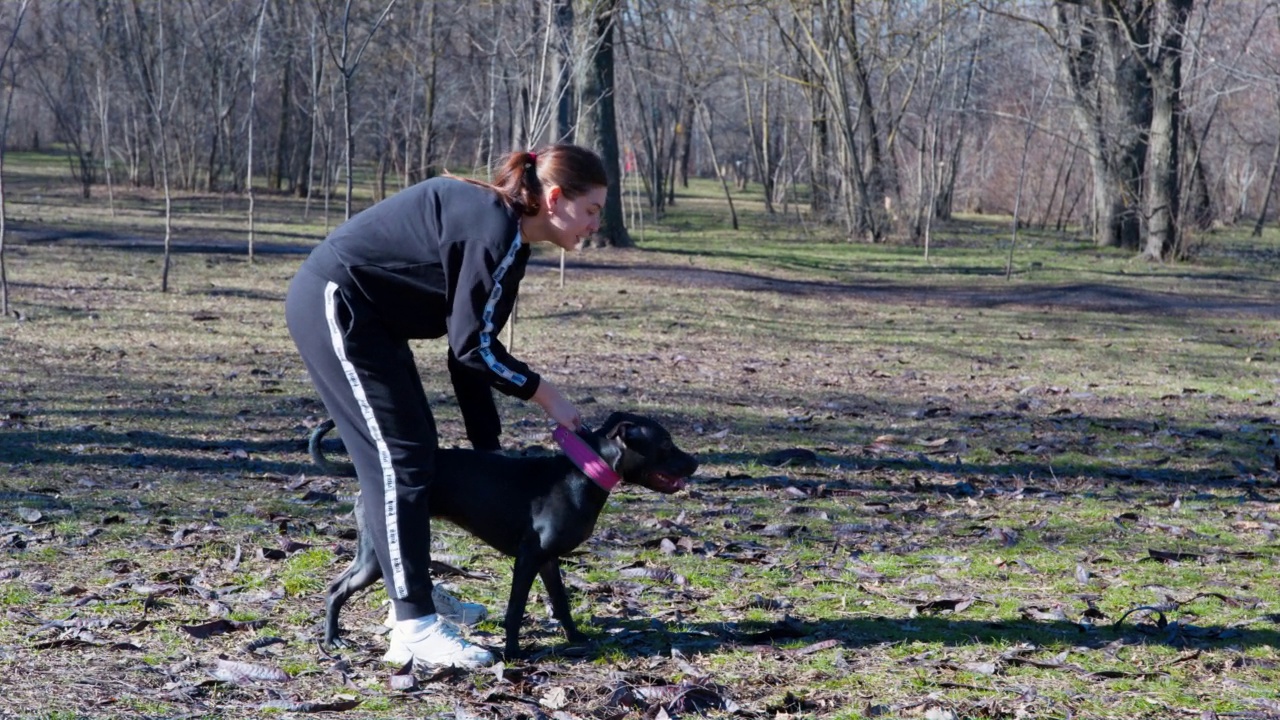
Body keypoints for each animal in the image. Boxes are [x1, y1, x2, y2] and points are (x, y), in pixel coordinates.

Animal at [314, 409, 701, 655]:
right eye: (666, 444)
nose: (696, 462)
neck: (582, 473)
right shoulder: (528, 558)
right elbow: (515, 609)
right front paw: (513, 651)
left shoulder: (548, 561)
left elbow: (562, 603)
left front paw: (575, 637)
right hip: (376, 557)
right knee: (337, 589)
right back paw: (333, 640)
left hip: (371, 555)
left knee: (335, 587)